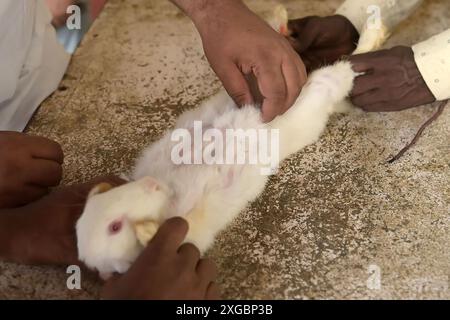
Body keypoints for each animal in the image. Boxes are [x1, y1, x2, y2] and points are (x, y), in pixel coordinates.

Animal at [75, 6, 388, 278]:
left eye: (110, 200)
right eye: (114, 227)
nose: (151, 184)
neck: (168, 187)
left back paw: (284, 23)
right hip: (325, 86)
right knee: (348, 67)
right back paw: (369, 37)